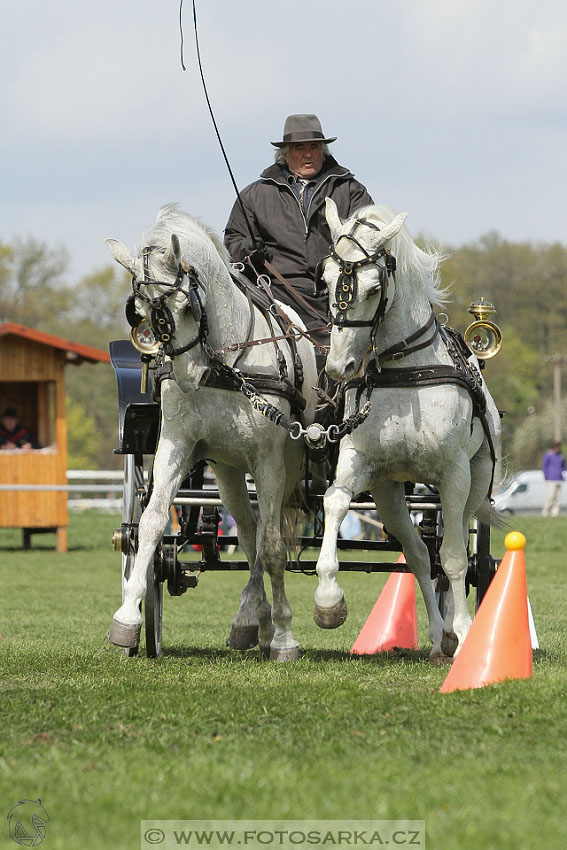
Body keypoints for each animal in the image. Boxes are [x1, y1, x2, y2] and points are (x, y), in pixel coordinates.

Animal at [106, 202, 320, 660]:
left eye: (186, 305)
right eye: (141, 314)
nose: (188, 377)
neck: (226, 364)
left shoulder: (270, 460)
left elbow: (274, 548)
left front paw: (286, 637)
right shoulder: (177, 443)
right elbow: (150, 523)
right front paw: (128, 621)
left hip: (284, 467)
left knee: (268, 537)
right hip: (228, 471)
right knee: (251, 533)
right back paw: (252, 622)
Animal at [316, 200, 502, 664]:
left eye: (371, 289)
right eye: (325, 279)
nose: (339, 368)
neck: (405, 371)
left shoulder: (454, 475)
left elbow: (454, 558)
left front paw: (465, 633)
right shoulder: (360, 464)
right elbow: (335, 503)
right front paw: (328, 599)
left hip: (475, 480)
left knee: (457, 544)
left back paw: (455, 630)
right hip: (388, 491)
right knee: (418, 554)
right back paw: (438, 636)